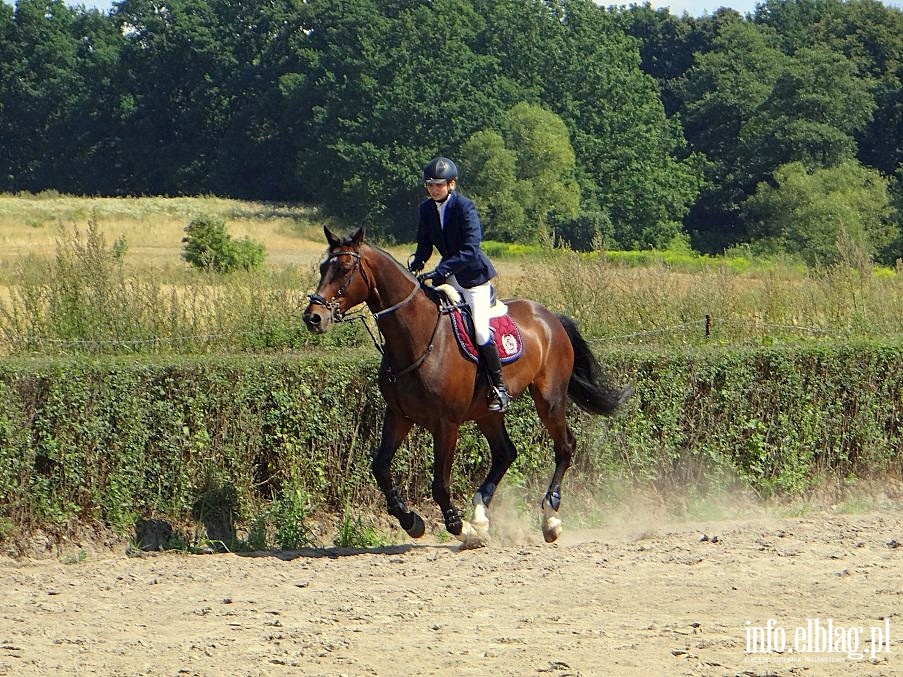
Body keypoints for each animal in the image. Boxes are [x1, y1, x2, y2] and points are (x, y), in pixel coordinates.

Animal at [300, 227, 632, 548]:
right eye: (322, 267)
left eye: (345, 268)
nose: (313, 317)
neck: (416, 337)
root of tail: (550, 317)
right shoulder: (399, 415)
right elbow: (380, 468)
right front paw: (412, 521)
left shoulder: (446, 424)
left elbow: (439, 483)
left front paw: (460, 528)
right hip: (487, 412)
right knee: (505, 453)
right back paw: (481, 516)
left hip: (549, 399)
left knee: (564, 448)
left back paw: (549, 519)